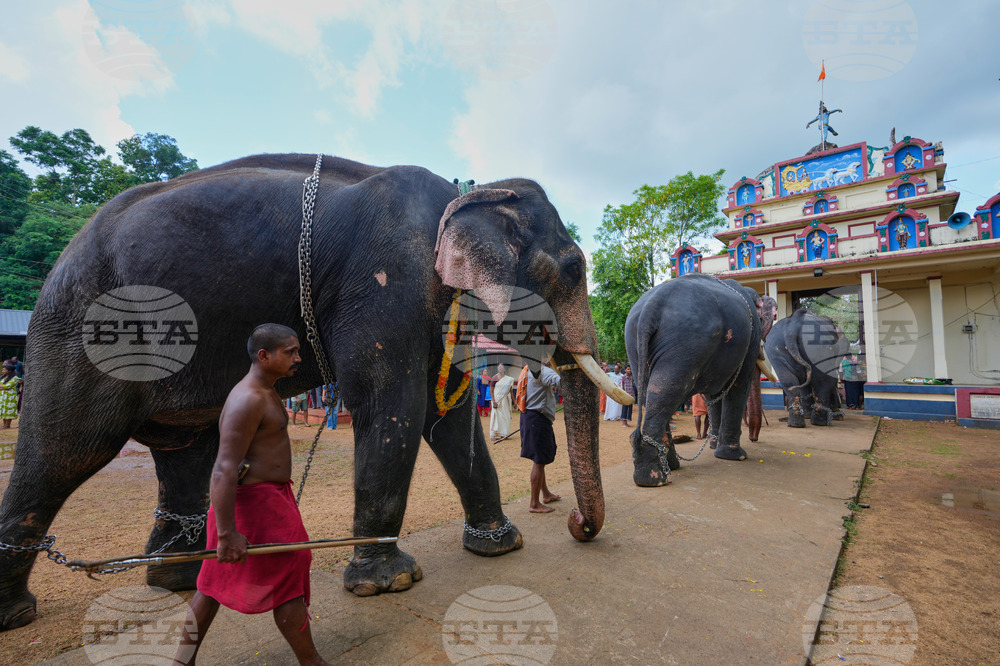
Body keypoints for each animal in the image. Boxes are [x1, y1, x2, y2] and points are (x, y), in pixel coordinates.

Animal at [0, 153, 628, 631]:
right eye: (573, 270)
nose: (576, 523)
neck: (468, 196)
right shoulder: (384, 282)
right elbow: (392, 404)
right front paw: (388, 582)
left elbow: (445, 417)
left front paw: (500, 545)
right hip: (83, 333)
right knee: (66, 450)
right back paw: (18, 614)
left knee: (186, 449)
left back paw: (178, 578)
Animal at [624, 273, 774, 487]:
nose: (754, 439)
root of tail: (650, 307)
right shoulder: (750, 338)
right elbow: (738, 385)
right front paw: (735, 456)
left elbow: (715, 394)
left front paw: (714, 446)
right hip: (687, 341)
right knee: (669, 388)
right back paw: (654, 479)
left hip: (635, 342)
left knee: (652, 391)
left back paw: (668, 467)